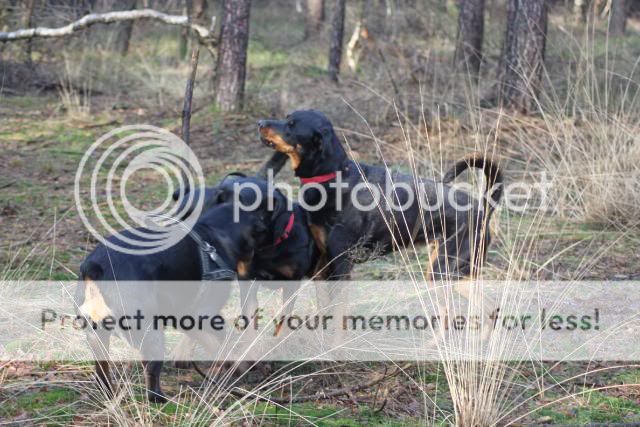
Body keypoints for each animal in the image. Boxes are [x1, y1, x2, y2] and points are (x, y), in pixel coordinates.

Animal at [258, 111, 502, 284]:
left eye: (292, 125)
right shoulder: (323, 264)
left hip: (443, 270)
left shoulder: (341, 263)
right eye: (286, 118)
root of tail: (483, 208)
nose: (260, 123)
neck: (334, 176)